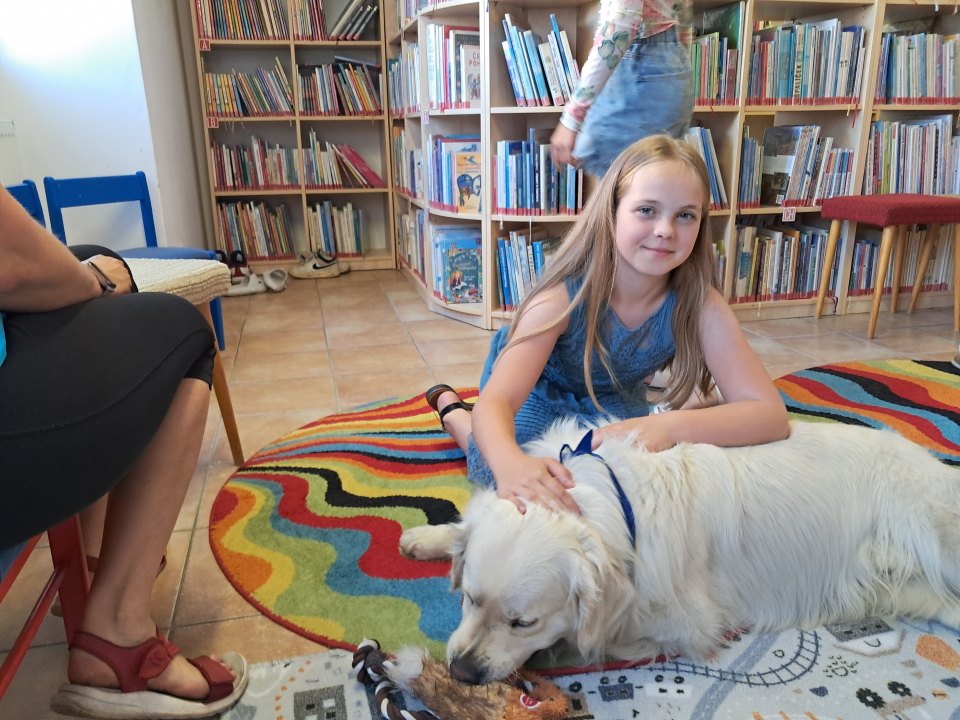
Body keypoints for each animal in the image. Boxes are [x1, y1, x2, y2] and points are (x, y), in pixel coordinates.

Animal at [399, 419, 960, 684]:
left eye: (523, 623)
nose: (461, 673)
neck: (609, 499)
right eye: (469, 599)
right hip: (909, 591)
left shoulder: (687, 620)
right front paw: (431, 538)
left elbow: (595, 637)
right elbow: (463, 529)